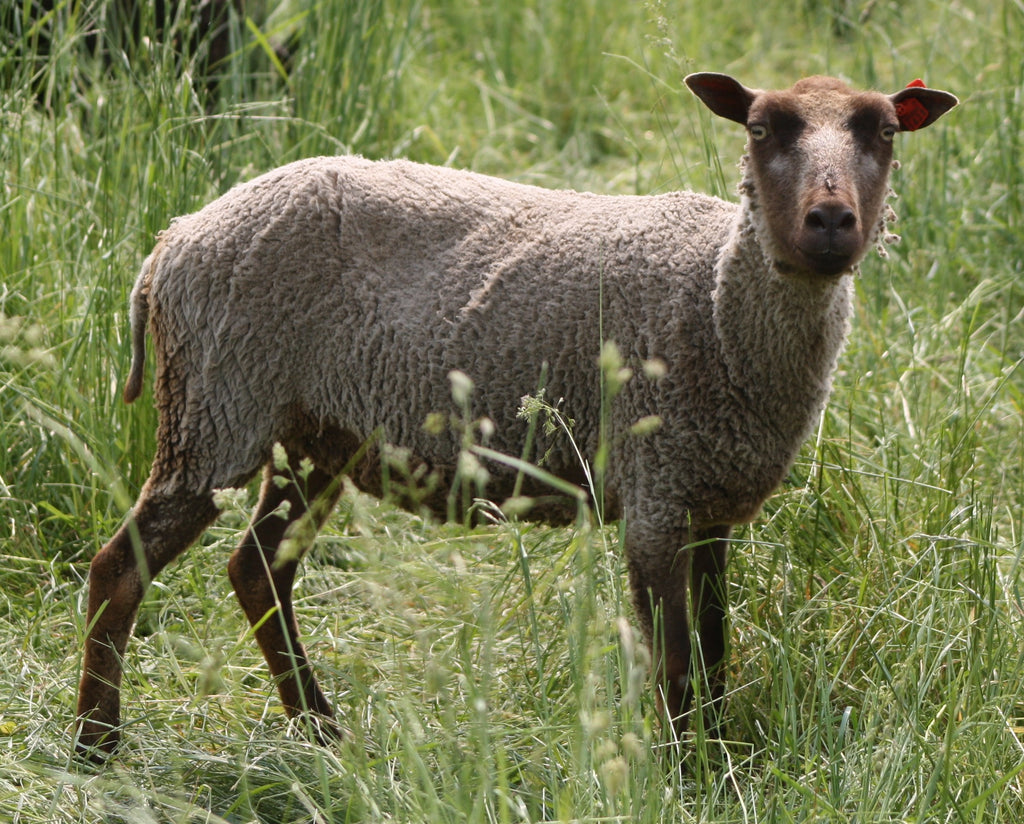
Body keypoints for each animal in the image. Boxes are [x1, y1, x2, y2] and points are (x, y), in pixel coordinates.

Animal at [74, 73, 958, 757]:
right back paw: (98, 743)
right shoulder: (657, 492)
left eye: (883, 131)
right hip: (217, 410)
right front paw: (685, 772)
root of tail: (171, 242)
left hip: (315, 435)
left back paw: (322, 732)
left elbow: (714, 651)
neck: (714, 301)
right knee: (121, 567)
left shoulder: (710, 500)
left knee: (258, 569)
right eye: (761, 127)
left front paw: (715, 753)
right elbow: (675, 664)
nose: (831, 221)